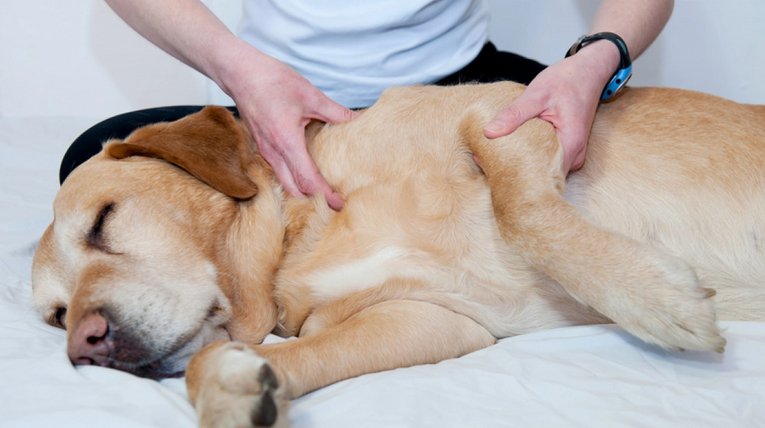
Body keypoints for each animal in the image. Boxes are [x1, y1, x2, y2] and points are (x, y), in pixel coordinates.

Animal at [29, 82, 764, 426]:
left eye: (103, 220)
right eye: (54, 317)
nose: (84, 344)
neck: (302, 240)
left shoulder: (502, 113)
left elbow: (523, 212)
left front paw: (656, 300)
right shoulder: (431, 321)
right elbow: (247, 358)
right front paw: (231, 392)